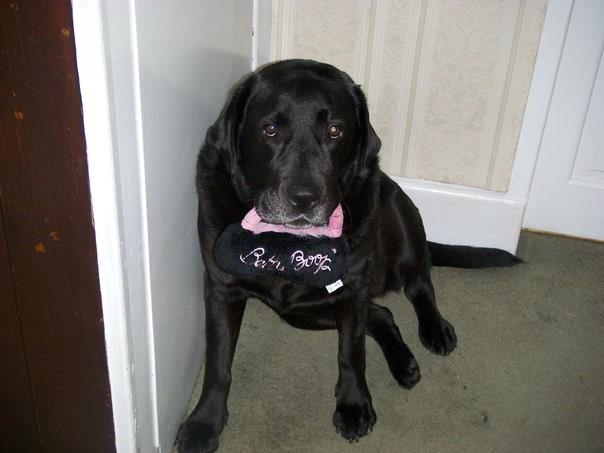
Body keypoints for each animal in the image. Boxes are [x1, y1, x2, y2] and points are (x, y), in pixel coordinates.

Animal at [176, 58, 520, 450]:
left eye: (336, 131)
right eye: (269, 129)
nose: (304, 198)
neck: (288, 244)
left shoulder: (351, 290)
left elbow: (351, 354)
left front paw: (354, 405)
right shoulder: (222, 289)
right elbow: (218, 362)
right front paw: (204, 422)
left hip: (400, 221)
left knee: (419, 286)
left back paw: (434, 329)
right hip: (307, 312)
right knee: (382, 313)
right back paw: (403, 362)